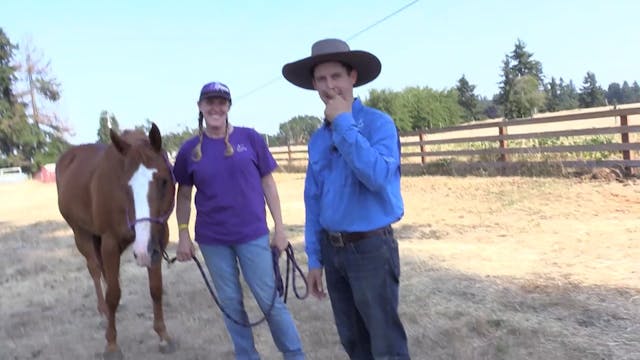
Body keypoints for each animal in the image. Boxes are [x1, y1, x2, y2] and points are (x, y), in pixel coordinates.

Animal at [56, 123, 176, 358]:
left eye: (164, 181)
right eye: (125, 186)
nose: (143, 252)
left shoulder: (158, 241)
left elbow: (155, 289)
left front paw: (163, 335)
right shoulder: (110, 242)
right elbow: (113, 294)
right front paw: (111, 345)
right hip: (81, 234)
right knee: (95, 269)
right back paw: (103, 312)